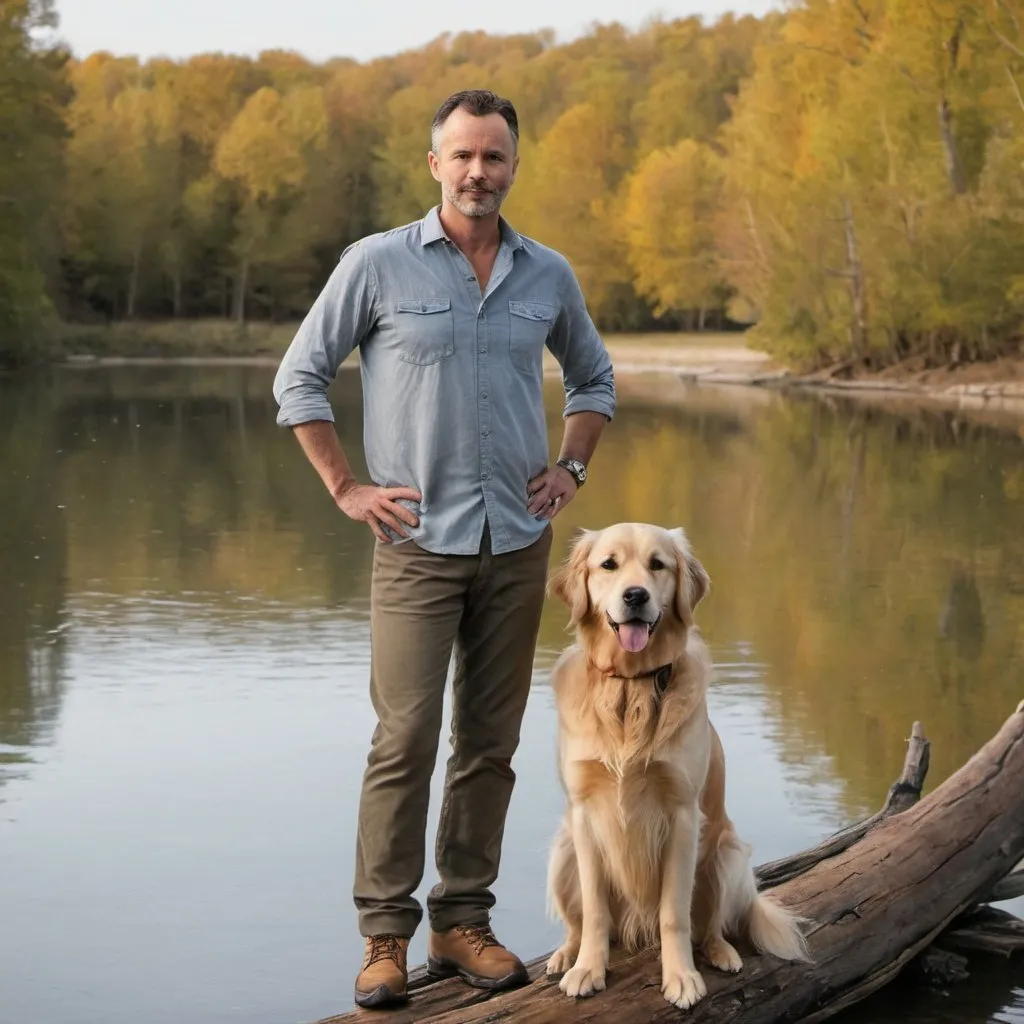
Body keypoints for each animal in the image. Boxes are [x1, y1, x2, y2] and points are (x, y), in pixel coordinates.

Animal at [540, 520, 811, 1007]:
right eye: (608, 564)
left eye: (657, 565)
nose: (635, 596)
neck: (631, 686)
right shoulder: (584, 814)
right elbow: (594, 911)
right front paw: (588, 969)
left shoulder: (683, 815)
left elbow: (674, 914)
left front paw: (681, 977)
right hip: (563, 852)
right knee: (581, 921)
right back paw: (565, 954)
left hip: (726, 855)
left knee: (711, 925)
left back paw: (722, 953)